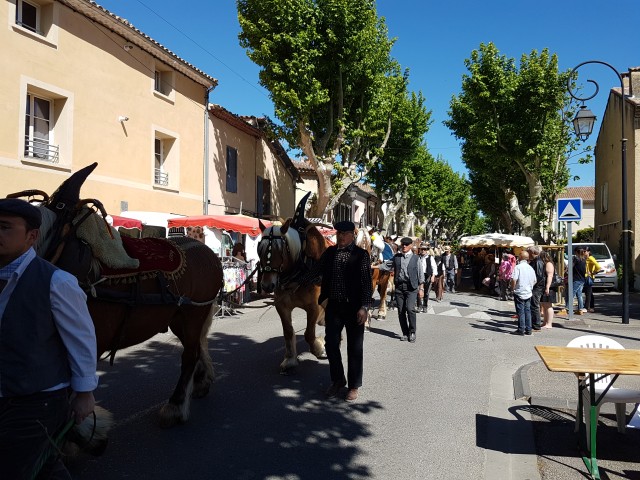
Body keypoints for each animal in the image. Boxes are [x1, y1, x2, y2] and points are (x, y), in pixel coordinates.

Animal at [13, 162, 222, 428]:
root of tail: (210, 254)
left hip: (193, 314)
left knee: (190, 355)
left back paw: (176, 405)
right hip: (179, 317)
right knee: (196, 347)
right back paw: (201, 382)